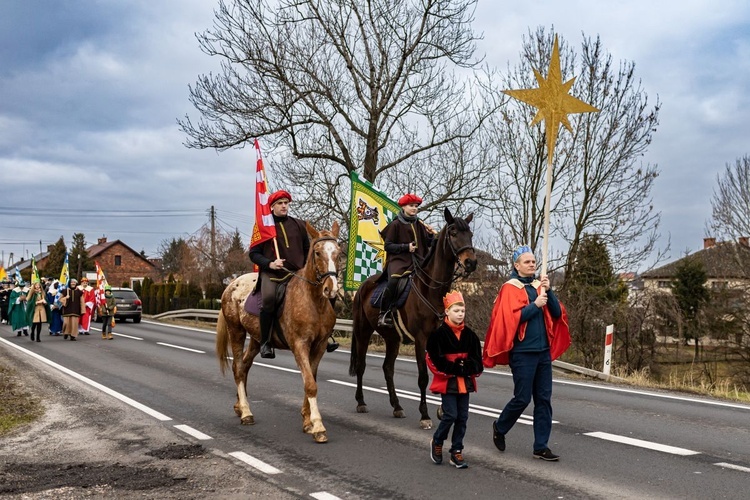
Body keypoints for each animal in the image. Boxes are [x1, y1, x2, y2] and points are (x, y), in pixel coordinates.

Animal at [216, 221, 342, 444]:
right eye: (318, 252)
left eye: (338, 252)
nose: (331, 289)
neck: (313, 301)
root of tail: (231, 284)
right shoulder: (299, 345)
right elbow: (310, 384)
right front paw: (318, 427)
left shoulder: (318, 347)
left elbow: (311, 379)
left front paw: (307, 421)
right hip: (236, 331)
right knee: (238, 369)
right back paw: (246, 412)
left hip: (256, 339)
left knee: (244, 367)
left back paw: (239, 406)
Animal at [352, 209, 478, 428]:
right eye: (453, 232)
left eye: (470, 233)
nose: (471, 262)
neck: (430, 288)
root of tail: (362, 287)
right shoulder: (421, 339)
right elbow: (423, 377)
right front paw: (425, 415)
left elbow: (444, 371)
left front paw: (442, 409)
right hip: (363, 332)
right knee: (361, 365)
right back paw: (361, 402)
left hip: (392, 339)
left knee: (388, 368)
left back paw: (397, 406)